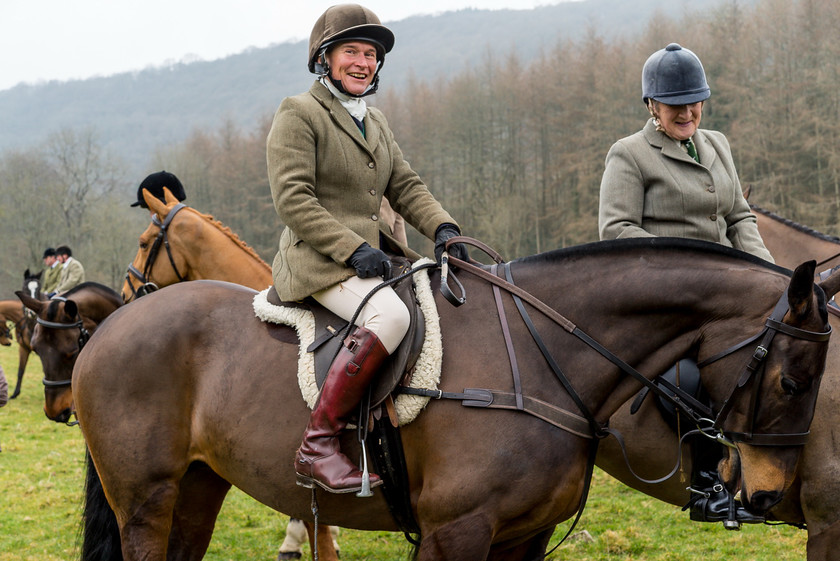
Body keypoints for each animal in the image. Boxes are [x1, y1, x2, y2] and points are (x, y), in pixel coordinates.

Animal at [75, 240, 836, 560]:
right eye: (793, 382)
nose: (765, 495)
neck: (538, 355)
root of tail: (111, 323)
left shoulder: (521, 536)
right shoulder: (456, 530)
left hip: (198, 487)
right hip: (145, 498)